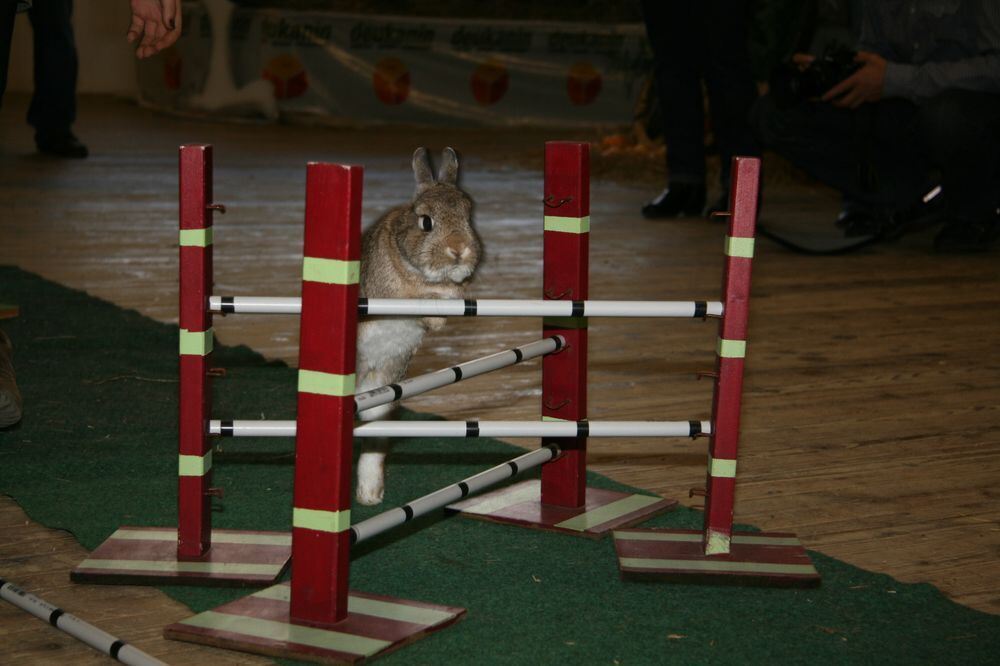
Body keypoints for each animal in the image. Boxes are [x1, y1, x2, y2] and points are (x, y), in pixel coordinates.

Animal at [356, 148, 484, 504]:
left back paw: (370, 494)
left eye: (468, 217)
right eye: (426, 222)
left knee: (373, 431)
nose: (459, 249)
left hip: (386, 385)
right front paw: (435, 318)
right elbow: (422, 298)